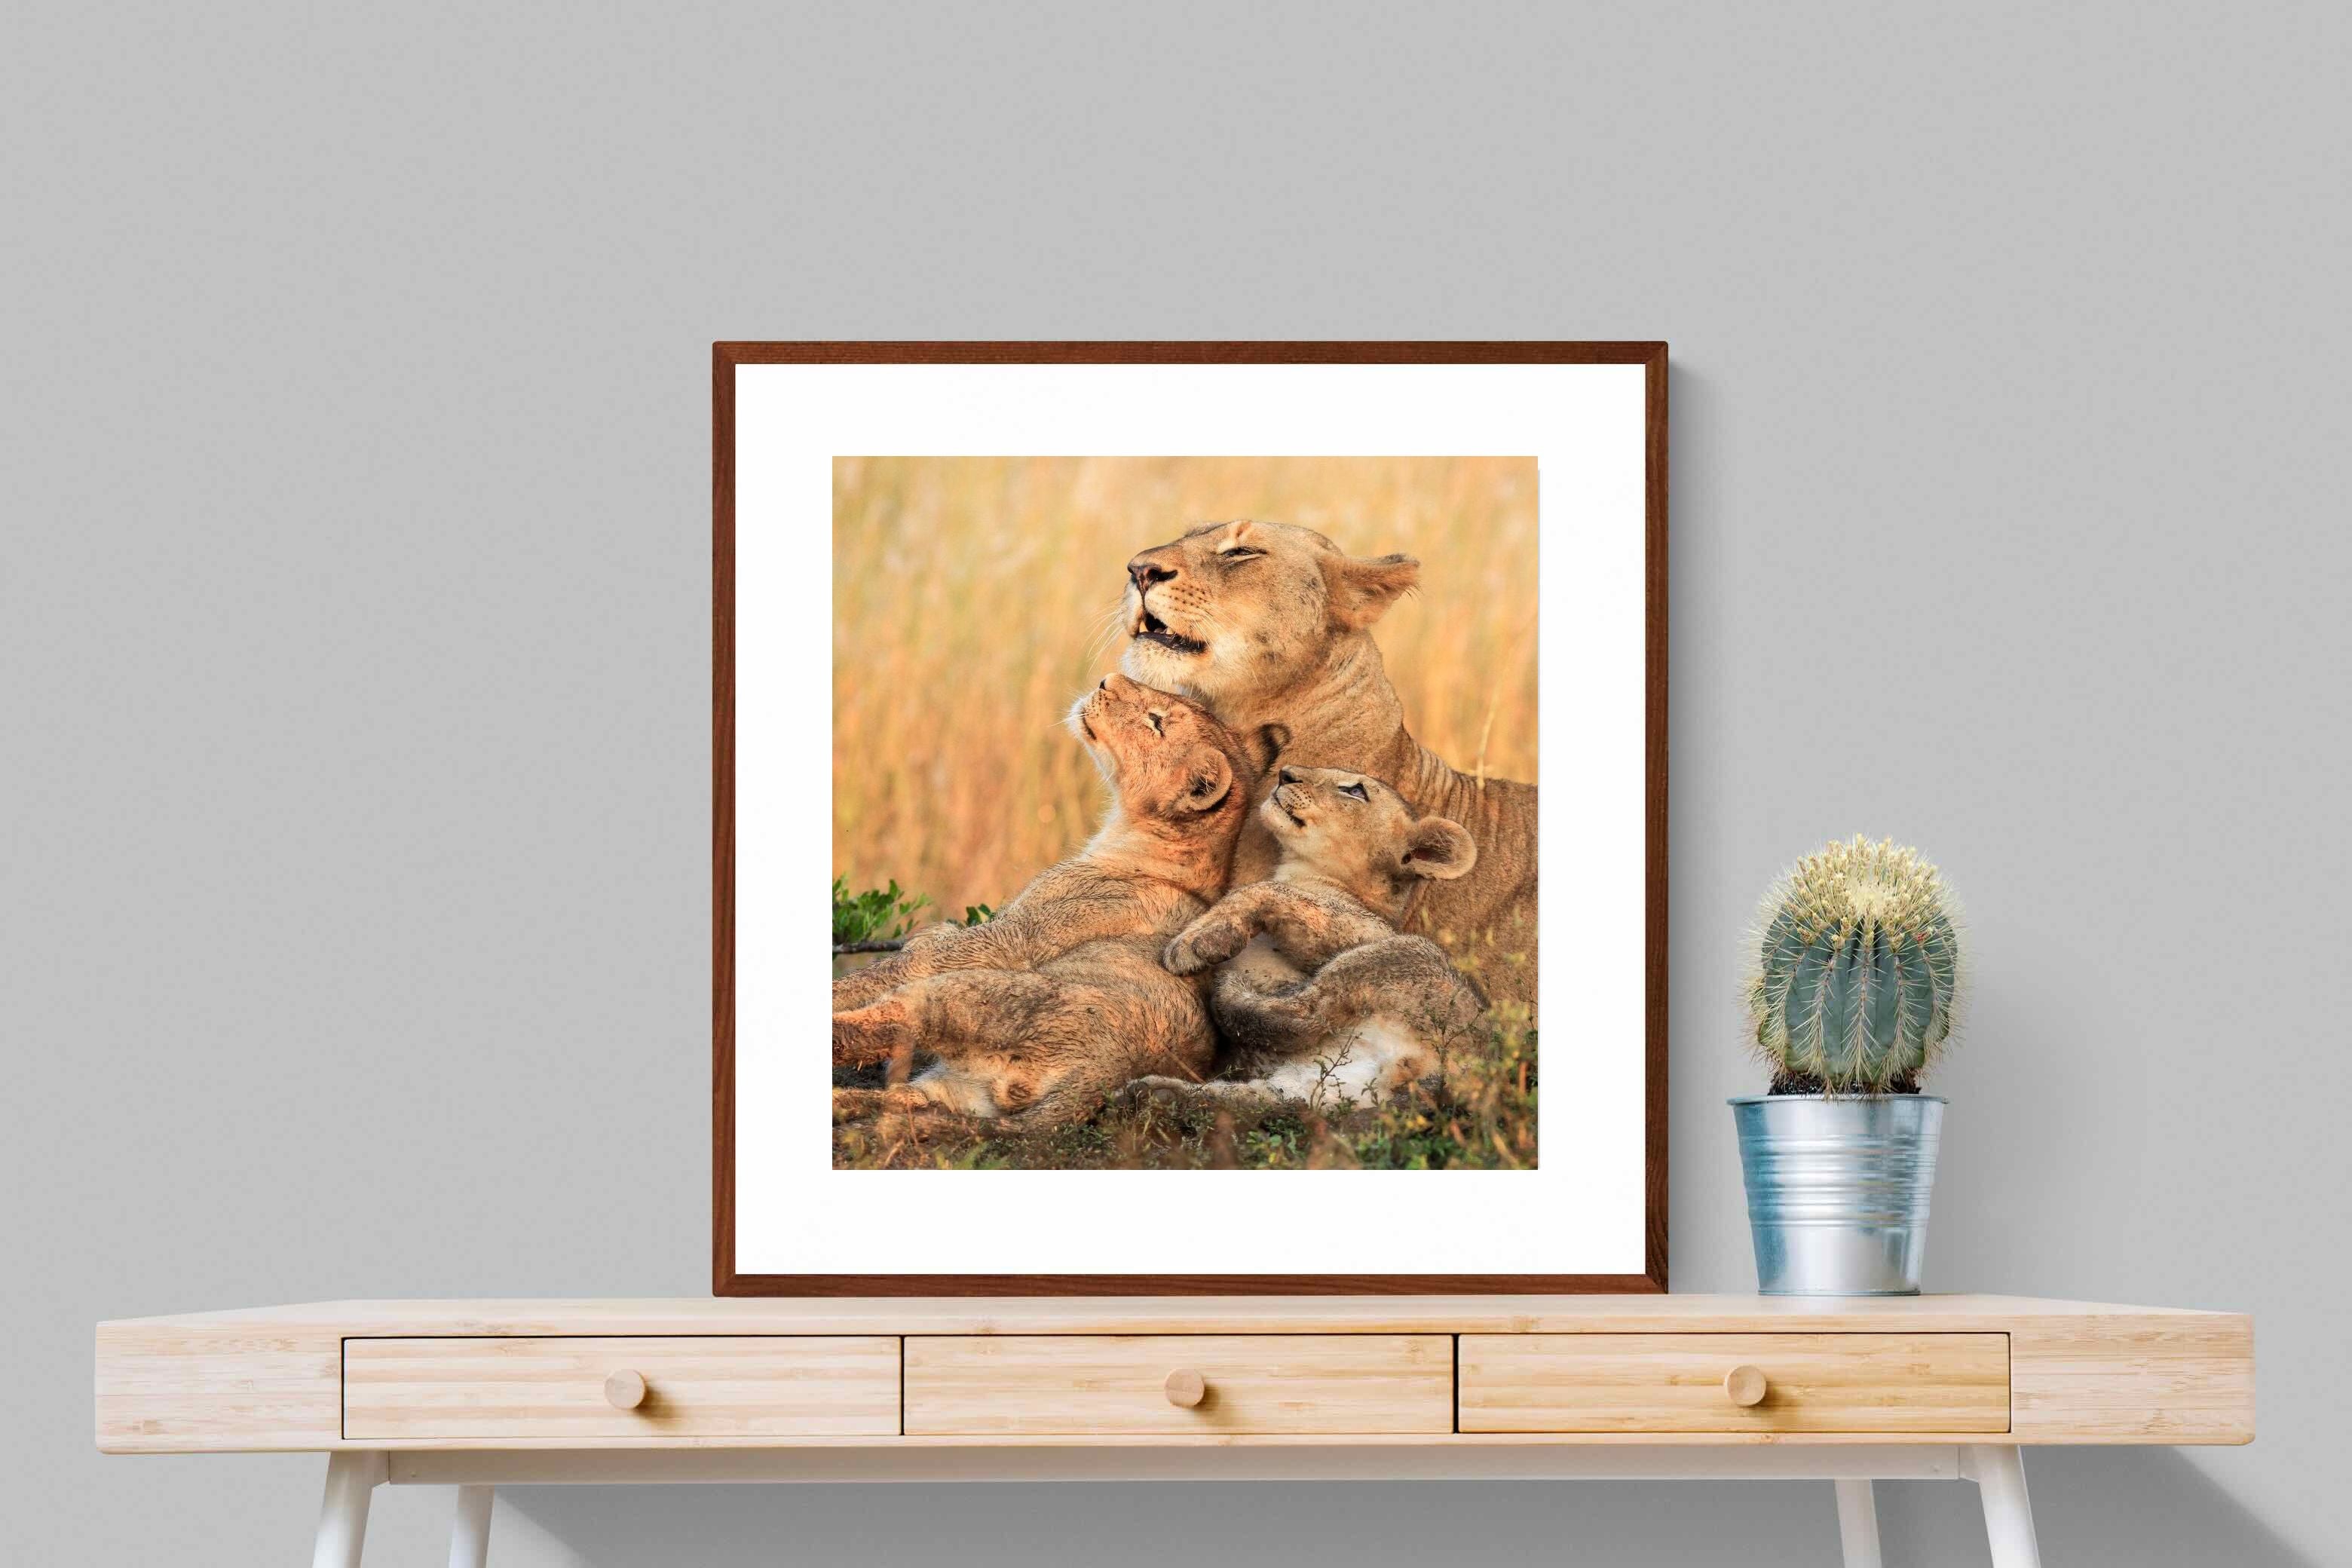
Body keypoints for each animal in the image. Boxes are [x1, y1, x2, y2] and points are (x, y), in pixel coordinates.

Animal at [830, 673, 1266, 1131]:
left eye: (1157, 722)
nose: (1107, 679)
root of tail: (1099, 1075)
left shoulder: (1011, 938)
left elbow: (895, 966)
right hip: (956, 1092)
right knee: (901, 1105)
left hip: (966, 995)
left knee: (874, 1027)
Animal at [1137, 765, 1487, 1109]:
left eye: (1355, 790)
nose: (1285, 774)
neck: (1303, 871)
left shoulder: (1366, 929)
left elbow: (1265, 890)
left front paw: (1195, 942)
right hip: (1317, 1085)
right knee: (1261, 1099)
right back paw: (1155, 1095)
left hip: (1401, 955)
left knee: (1304, 1014)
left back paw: (1230, 990)